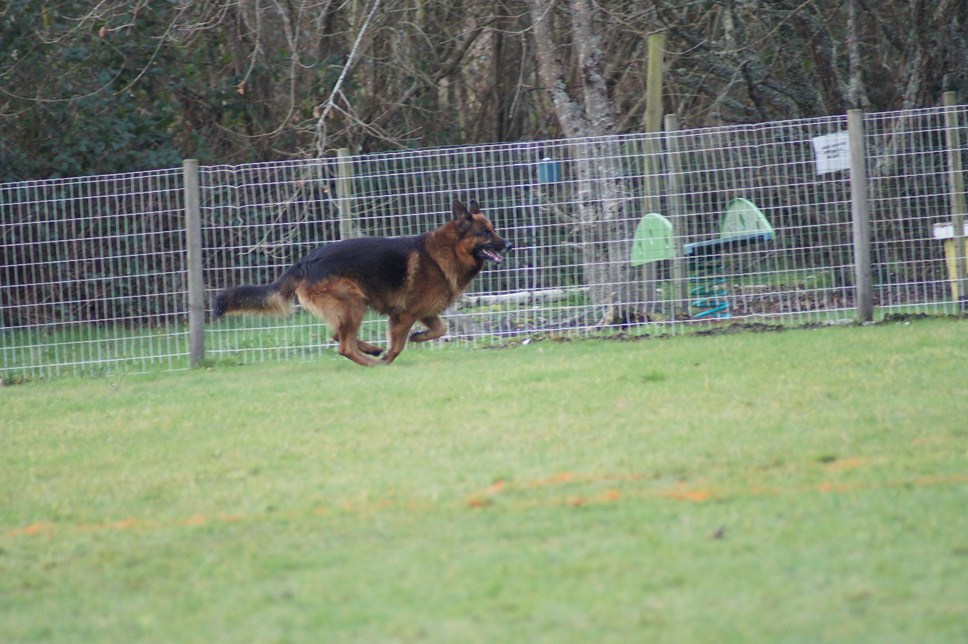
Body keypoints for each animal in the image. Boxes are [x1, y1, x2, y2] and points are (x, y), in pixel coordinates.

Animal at [215, 199, 510, 364]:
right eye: (485, 233)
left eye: (494, 229)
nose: (509, 245)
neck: (447, 251)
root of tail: (305, 262)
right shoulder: (404, 315)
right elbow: (398, 345)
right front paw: (390, 358)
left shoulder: (425, 312)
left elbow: (440, 329)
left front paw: (418, 337)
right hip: (353, 303)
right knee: (343, 345)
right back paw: (371, 363)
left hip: (348, 308)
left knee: (337, 335)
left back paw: (371, 350)